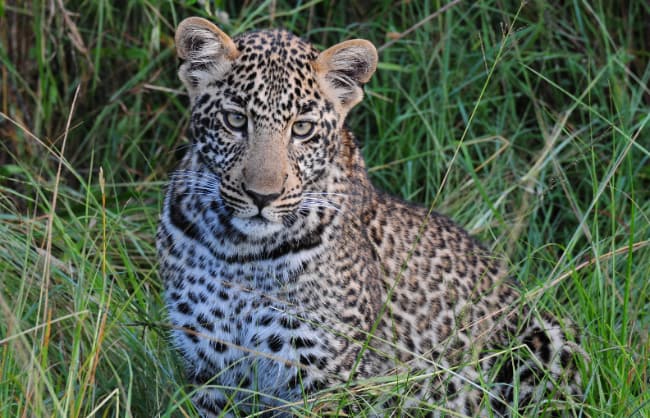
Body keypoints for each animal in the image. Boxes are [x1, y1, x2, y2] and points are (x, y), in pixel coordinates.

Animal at [156, 17, 584, 418]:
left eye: (302, 129)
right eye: (234, 120)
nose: (263, 196)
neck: (240, 254)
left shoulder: (326, 377)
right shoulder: (210, 371)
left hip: (551, 339)